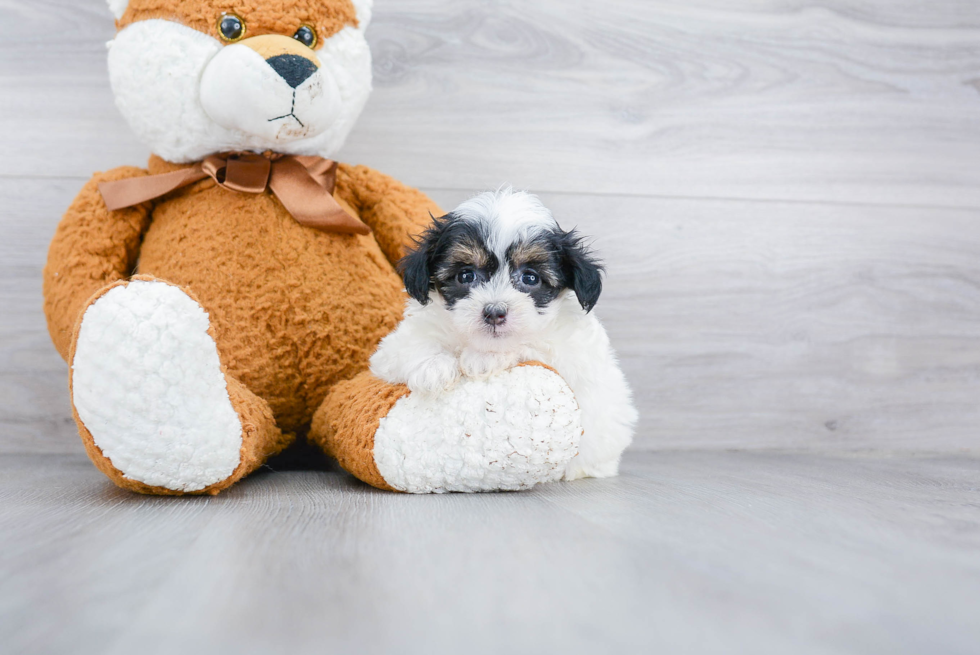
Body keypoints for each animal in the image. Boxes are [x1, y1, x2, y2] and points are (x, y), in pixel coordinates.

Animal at [368, 187, 636, 480]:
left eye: (530, 278)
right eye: (466, 276)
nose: (494, 312)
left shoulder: (571, 353)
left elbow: (532, 345)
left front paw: (482, 358)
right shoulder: (393, 348)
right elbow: (411, 345)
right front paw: (433, 369)